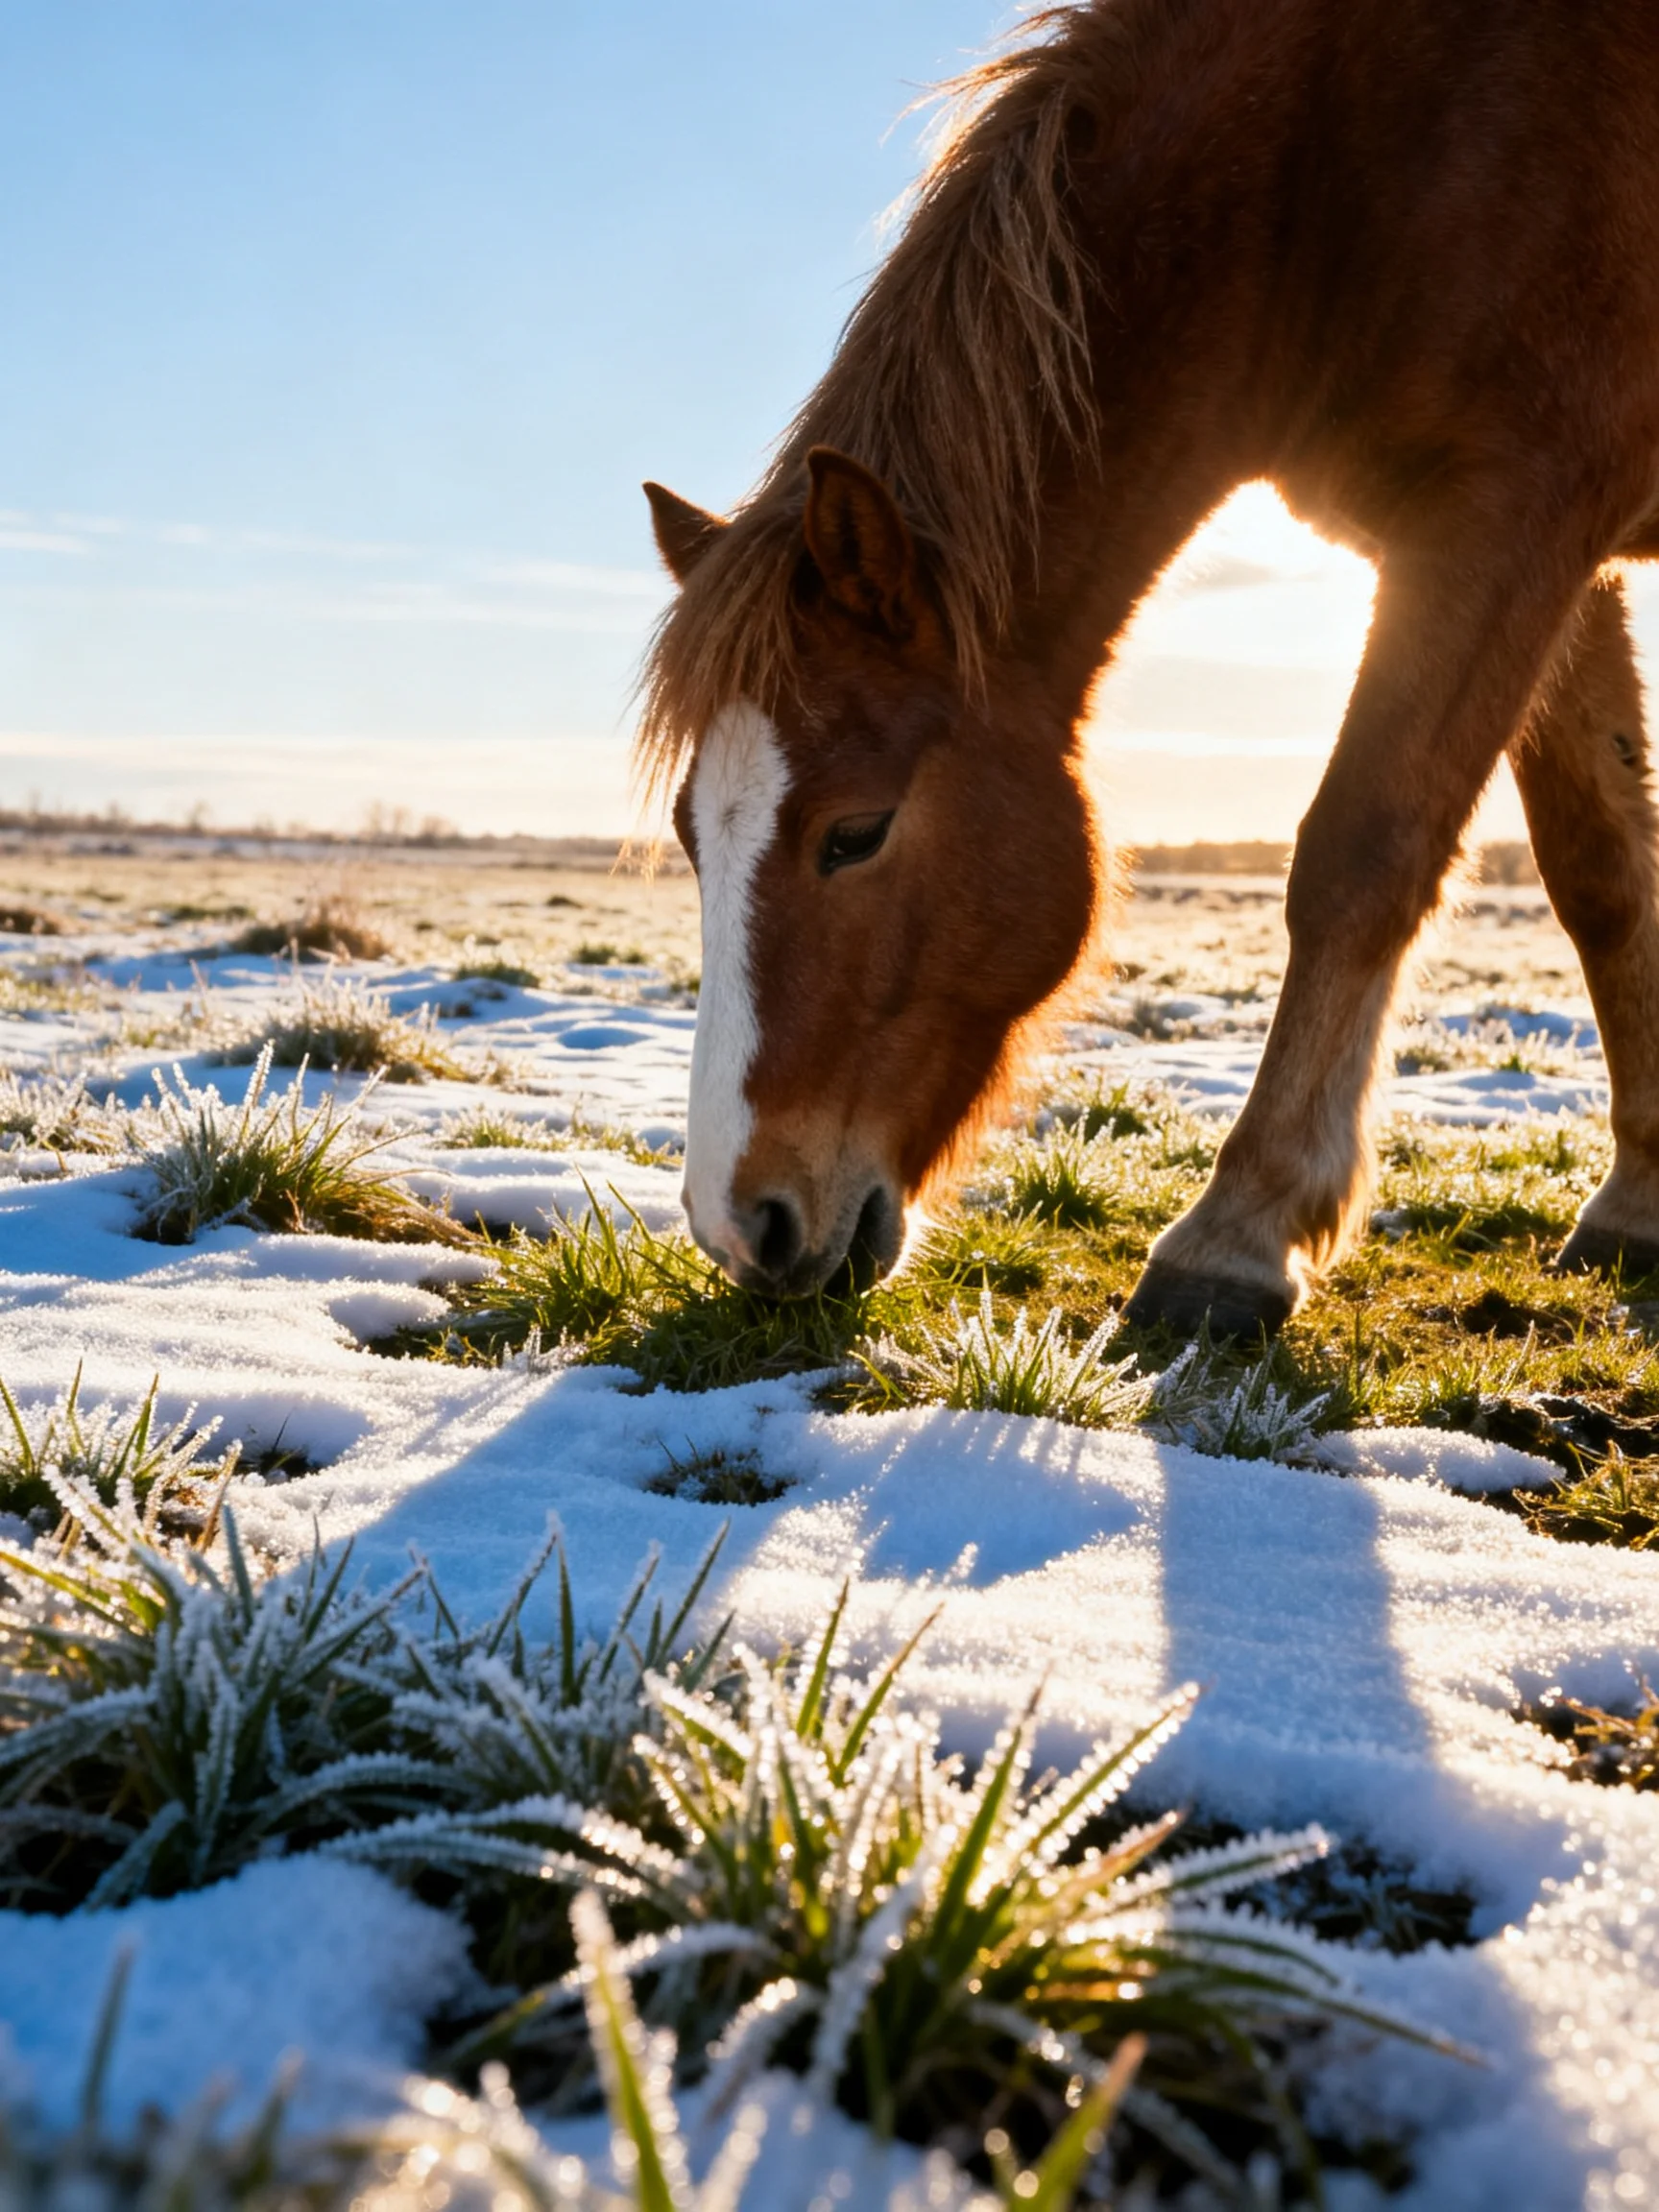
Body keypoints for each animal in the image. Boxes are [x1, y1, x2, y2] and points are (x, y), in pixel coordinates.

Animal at [638, 0, 1659, 1338]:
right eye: (693, 837)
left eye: (855, 833)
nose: (739, 1226)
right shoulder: (1563, 557)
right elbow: (1602, 873)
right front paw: (1640, 1202)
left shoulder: (1510, 519)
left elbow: (1361, 854)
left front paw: (1237, 1232)